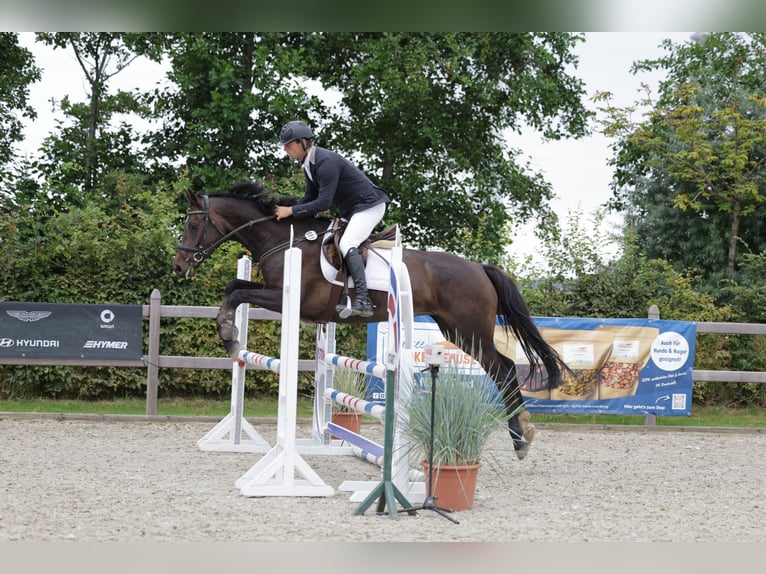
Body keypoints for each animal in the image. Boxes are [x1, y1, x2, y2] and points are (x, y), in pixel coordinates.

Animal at [176, 182, 568, 462]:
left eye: (193, 224)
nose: (179, 267)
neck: (281, 240)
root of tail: (478, 268)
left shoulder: (289, 299)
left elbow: (236, 293)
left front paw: (229, 335)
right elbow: (235, 286)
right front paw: (229, 334)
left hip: (470, 330)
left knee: (503, 368)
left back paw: (521, 438)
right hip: (454, 329)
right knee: (500, 369)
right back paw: (520, 434)